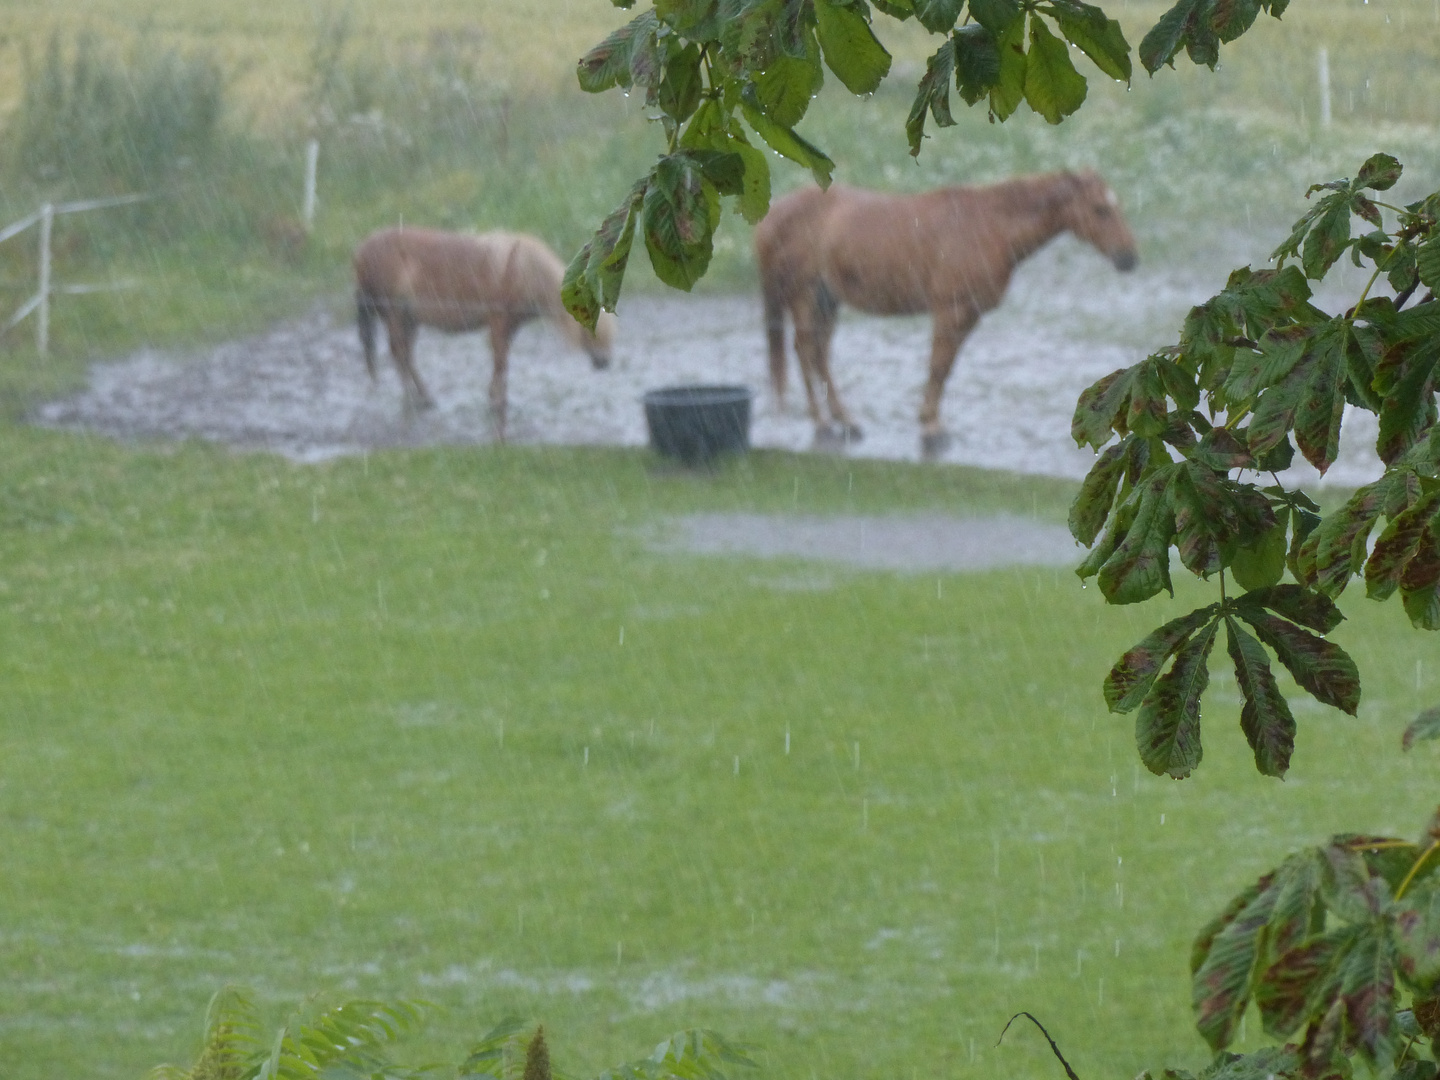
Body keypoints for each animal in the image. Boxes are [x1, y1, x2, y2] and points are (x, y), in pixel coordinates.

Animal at [357, 228, 616, 440]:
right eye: (591, 332)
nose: (604, 363)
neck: (523, 269)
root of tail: (360, 251)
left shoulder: (509, 327)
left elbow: (501, 363)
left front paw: (495, 399)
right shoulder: (498, 322)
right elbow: (500, 362)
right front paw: (498, 403)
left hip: (409, 319)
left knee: (406, 355)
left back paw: (424, 398)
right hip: (394, 314)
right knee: (399, 353)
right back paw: (412, 399)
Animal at [760, 168, 1140, 452]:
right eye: (1100, 209)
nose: (1129, 259)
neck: (987, 225)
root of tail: (776, 212)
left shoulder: (967, 316)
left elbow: (946, 369)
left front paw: (932, 423)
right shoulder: (951, 311)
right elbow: (938, 366)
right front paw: (931, 429)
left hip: (827, 301)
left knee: (818, 353)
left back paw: (845, 421)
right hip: (806, 297)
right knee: (807, 350)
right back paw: (823, 424)